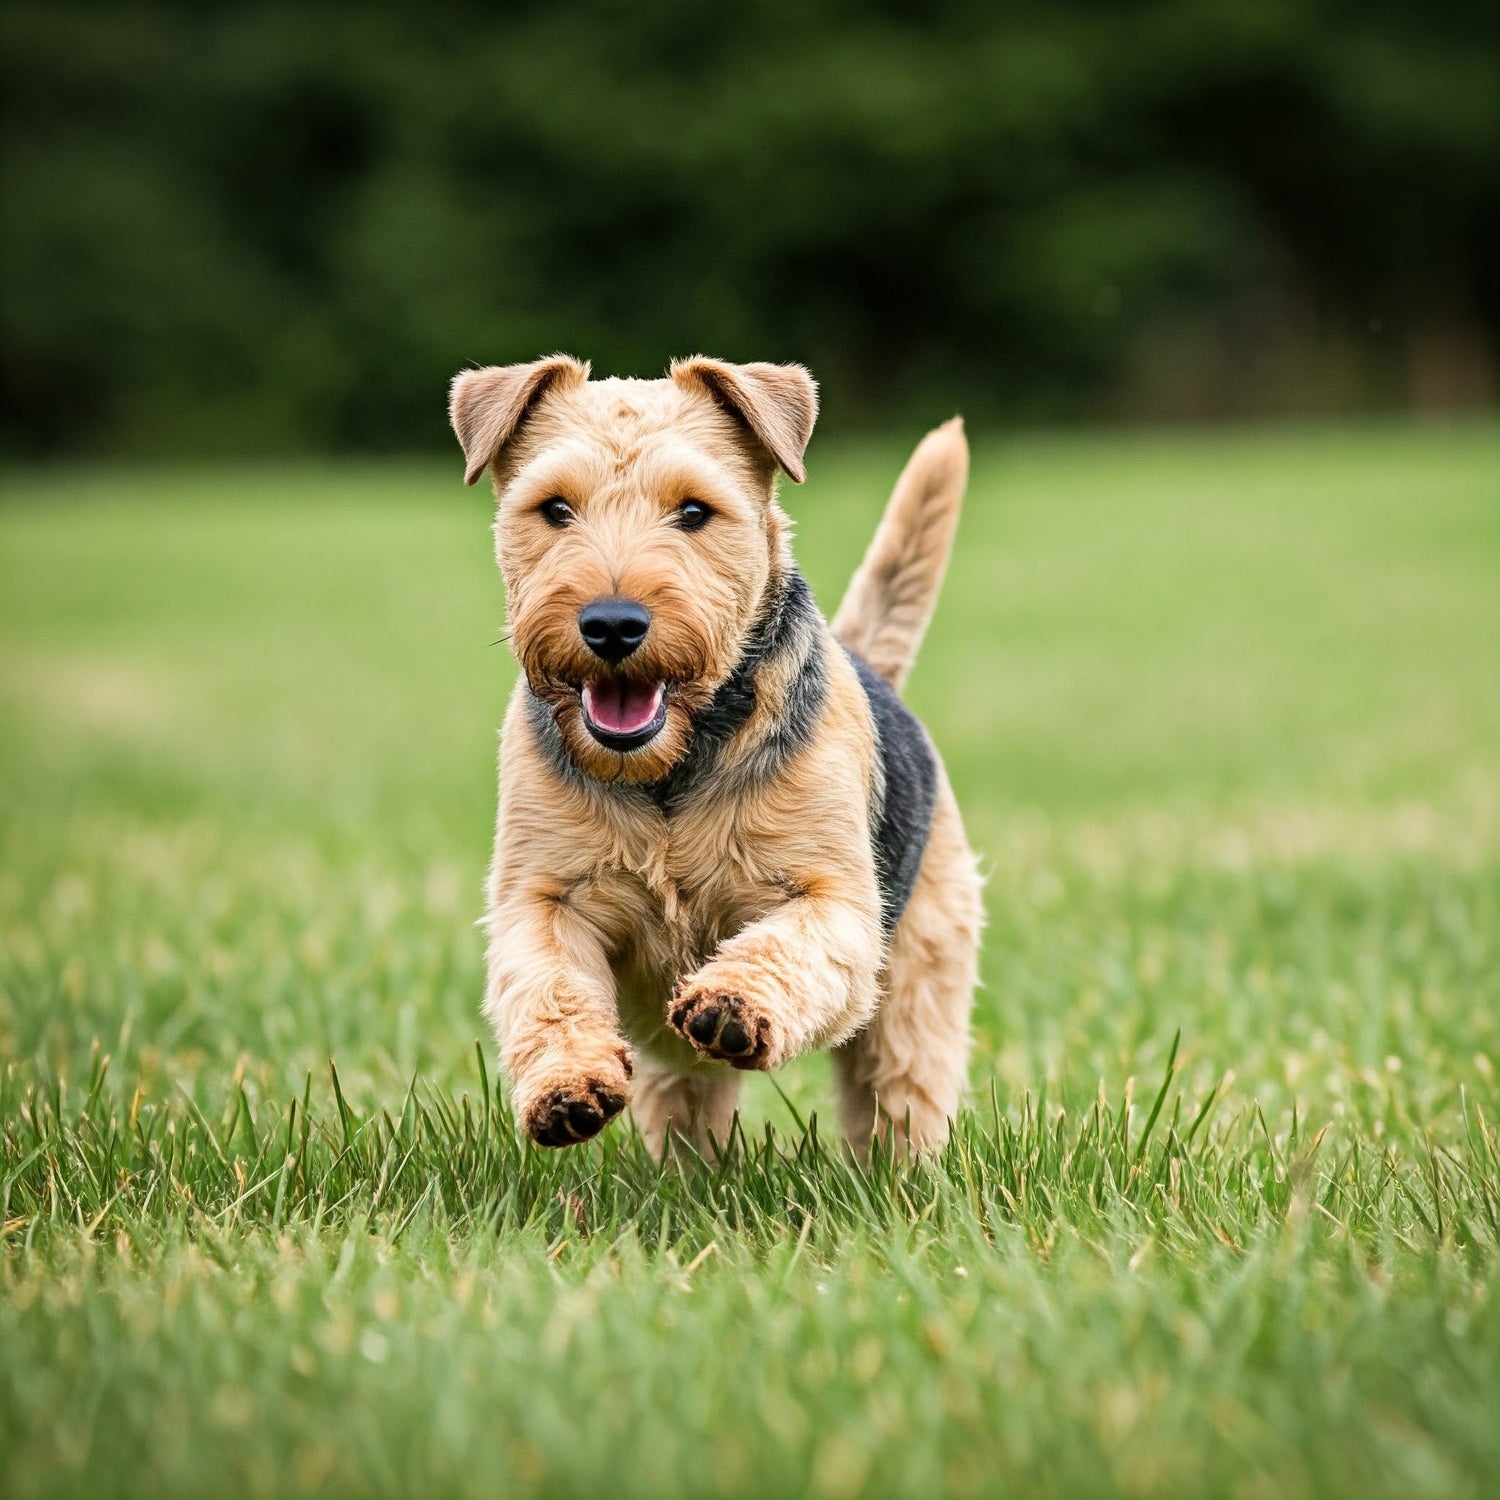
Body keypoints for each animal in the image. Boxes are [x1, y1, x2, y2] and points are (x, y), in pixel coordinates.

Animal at [444, 357, 984, 1152]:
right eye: (554, 508)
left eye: (695, 511)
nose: (612, 625)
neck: (667, 771)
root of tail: (872, 665)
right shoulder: (542, 897)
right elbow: (551, 989)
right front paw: (567, 1090)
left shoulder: (834, 899)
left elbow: (786, 945)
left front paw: (732, 1005)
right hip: (682, 1073)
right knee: (690, 1109)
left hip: (916, 983)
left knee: (900, 1093)